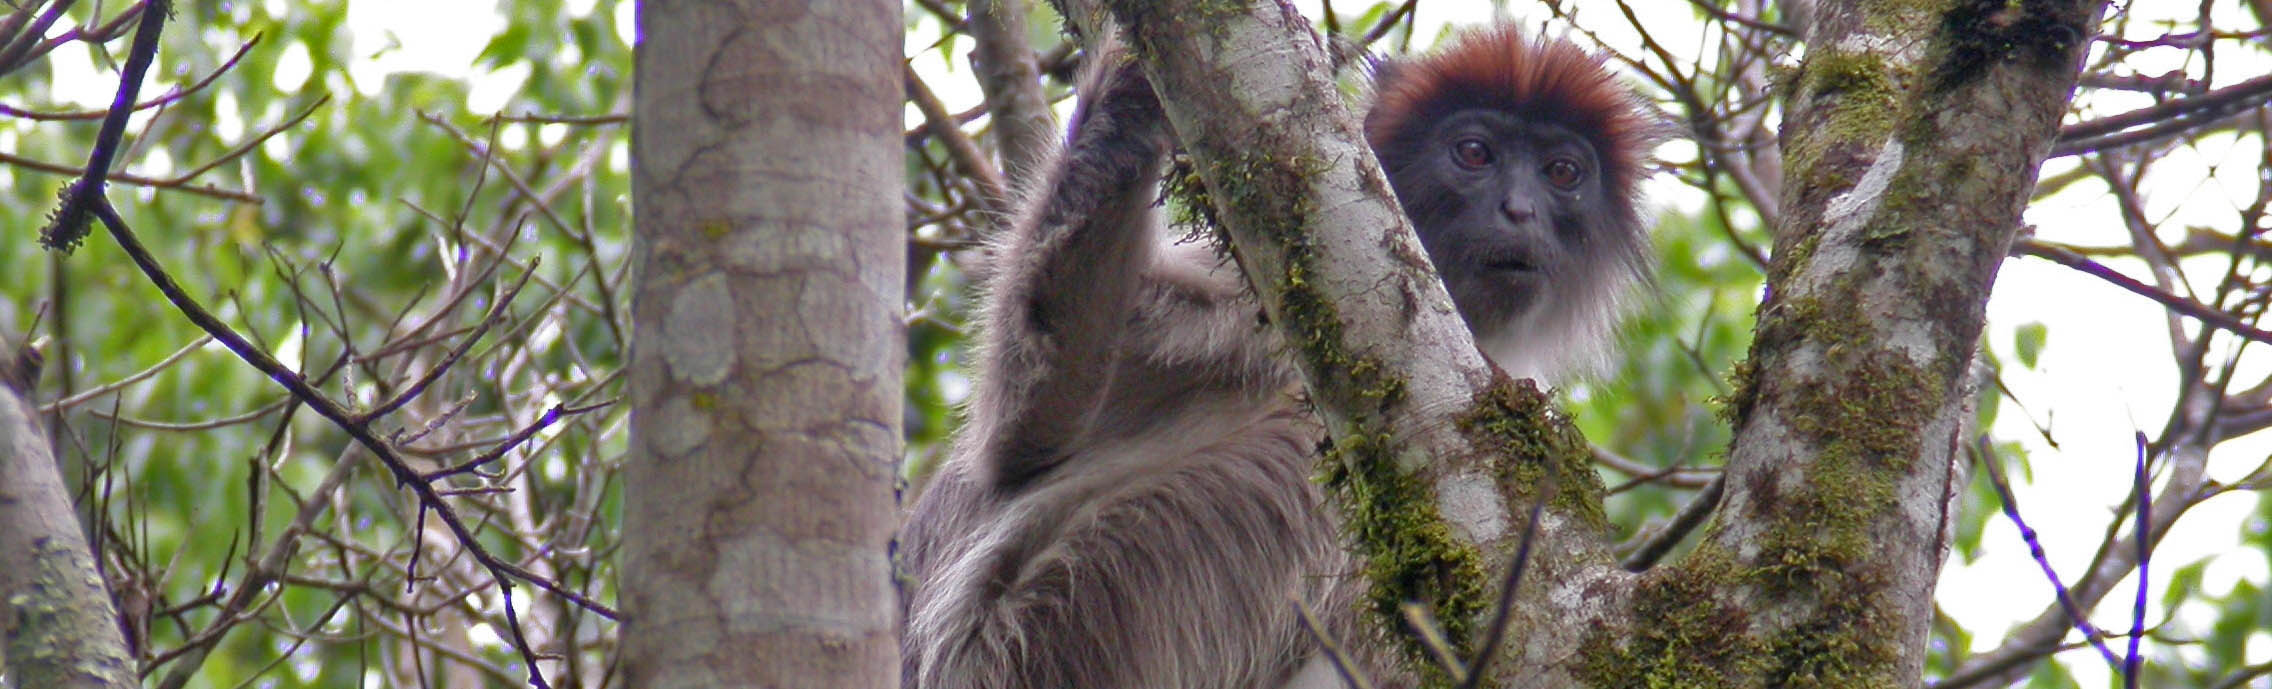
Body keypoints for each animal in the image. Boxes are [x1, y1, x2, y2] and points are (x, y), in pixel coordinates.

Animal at [895, 23, 1663, 689]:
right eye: (1474, 153)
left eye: (1562, 171)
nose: (1519, 209)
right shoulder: (1251, 305)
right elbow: (1020, 441)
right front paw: (1127, 99)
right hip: (1061, 623)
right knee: (1298, 467)